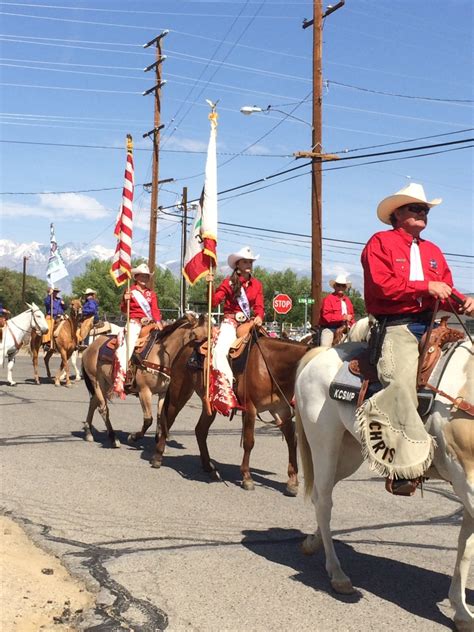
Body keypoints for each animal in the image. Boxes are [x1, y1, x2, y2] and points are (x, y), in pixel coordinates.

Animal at [81, 314, 207, 446]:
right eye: (194, 334)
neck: (161, 357)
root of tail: (89, 348)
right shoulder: (144, 391)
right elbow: (148, 419)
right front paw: (133, 437)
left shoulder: (163, 392)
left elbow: (159, 416)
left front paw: (158, 439)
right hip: (96, 382)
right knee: (103, 408)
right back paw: (113, 438)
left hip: (105, 385)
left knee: (93, 403)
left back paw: (88, 432)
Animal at [131, 334, 312, 496]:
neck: (269, 366)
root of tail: (187, 346)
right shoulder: (250, 409)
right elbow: (249, 442)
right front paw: (247, 477)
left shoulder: (280, 410)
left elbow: (291, 441)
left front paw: (292, 481)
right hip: (178, 394)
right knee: (168, 419)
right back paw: (158, 456)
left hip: (209, 404)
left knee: (200, 430)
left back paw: (208, 466)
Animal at [294, 340, 472, 632]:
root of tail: (322, 352)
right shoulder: (467, 481)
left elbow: (465, 548)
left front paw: (461, 612)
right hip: (324, 442)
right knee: (324, 502)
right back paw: (337, 573)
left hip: (349, 453)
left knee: (322, 494)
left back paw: (312, 542)